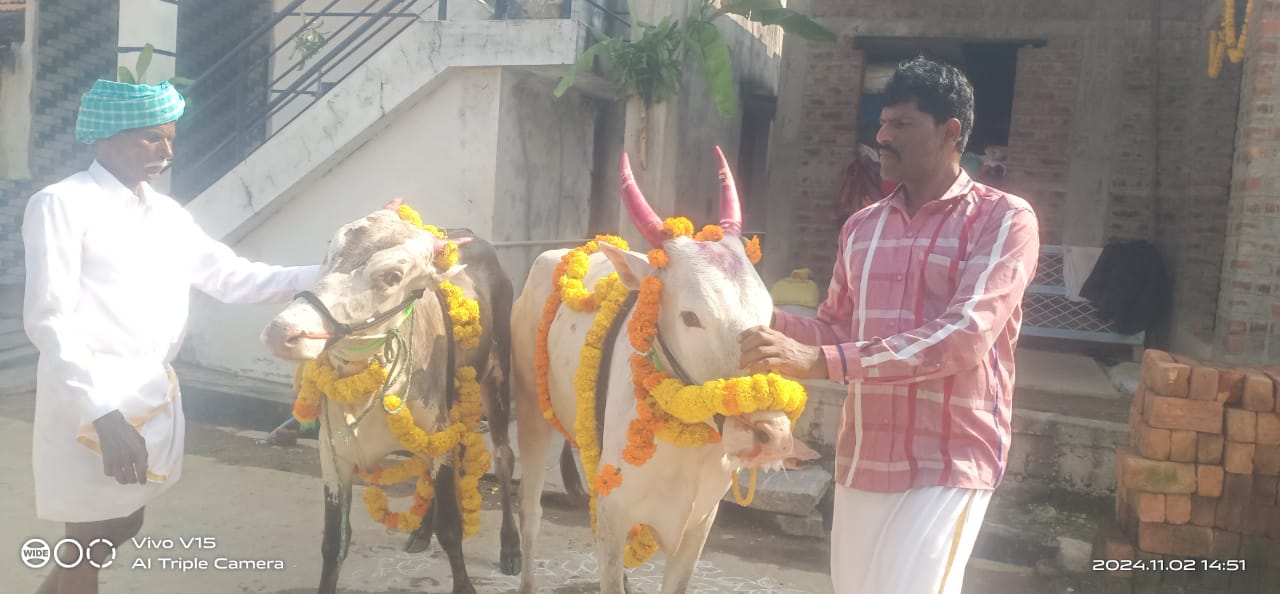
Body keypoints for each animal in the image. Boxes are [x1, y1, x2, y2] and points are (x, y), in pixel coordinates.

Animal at [260, 199, 519, 594]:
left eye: (392, 277)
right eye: (329, 252)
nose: (282, 332)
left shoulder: (438, 433)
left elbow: (451, 529)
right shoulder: (333, 455)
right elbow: (334, 542)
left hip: (496, 379)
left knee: (504, 459)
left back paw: (511, 548)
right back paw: (421, 532)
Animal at [510, 148, 818, 594]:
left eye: (769, 310)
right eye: (691, 317)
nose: (771, 434)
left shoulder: (698, 526)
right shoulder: (615, 517)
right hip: (532, 412)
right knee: (529, 512)